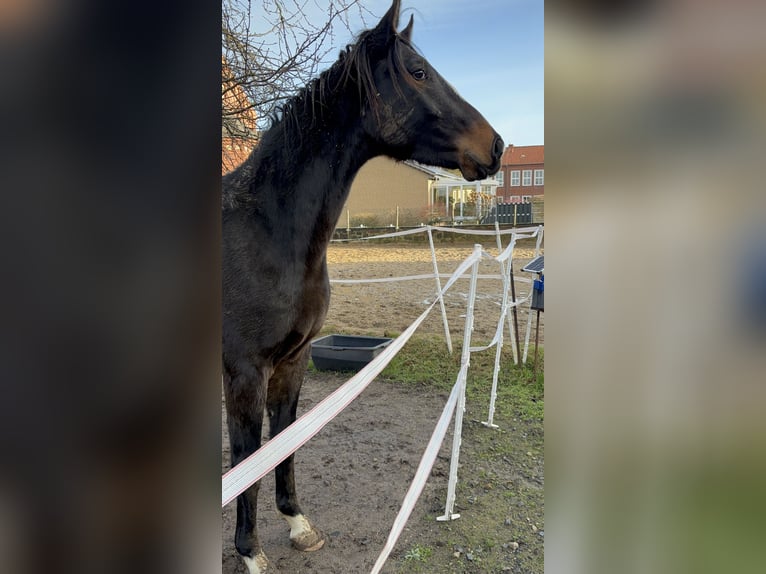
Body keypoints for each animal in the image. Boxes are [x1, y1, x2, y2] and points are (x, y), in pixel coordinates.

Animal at [222, 2, 504, 572]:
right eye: (418, 72)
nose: (496, 146)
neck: (267, 231)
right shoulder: (244, 372)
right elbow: (247, 460)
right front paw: (251, 552)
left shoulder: (292, 362)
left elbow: (284, 442)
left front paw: (298, 524)